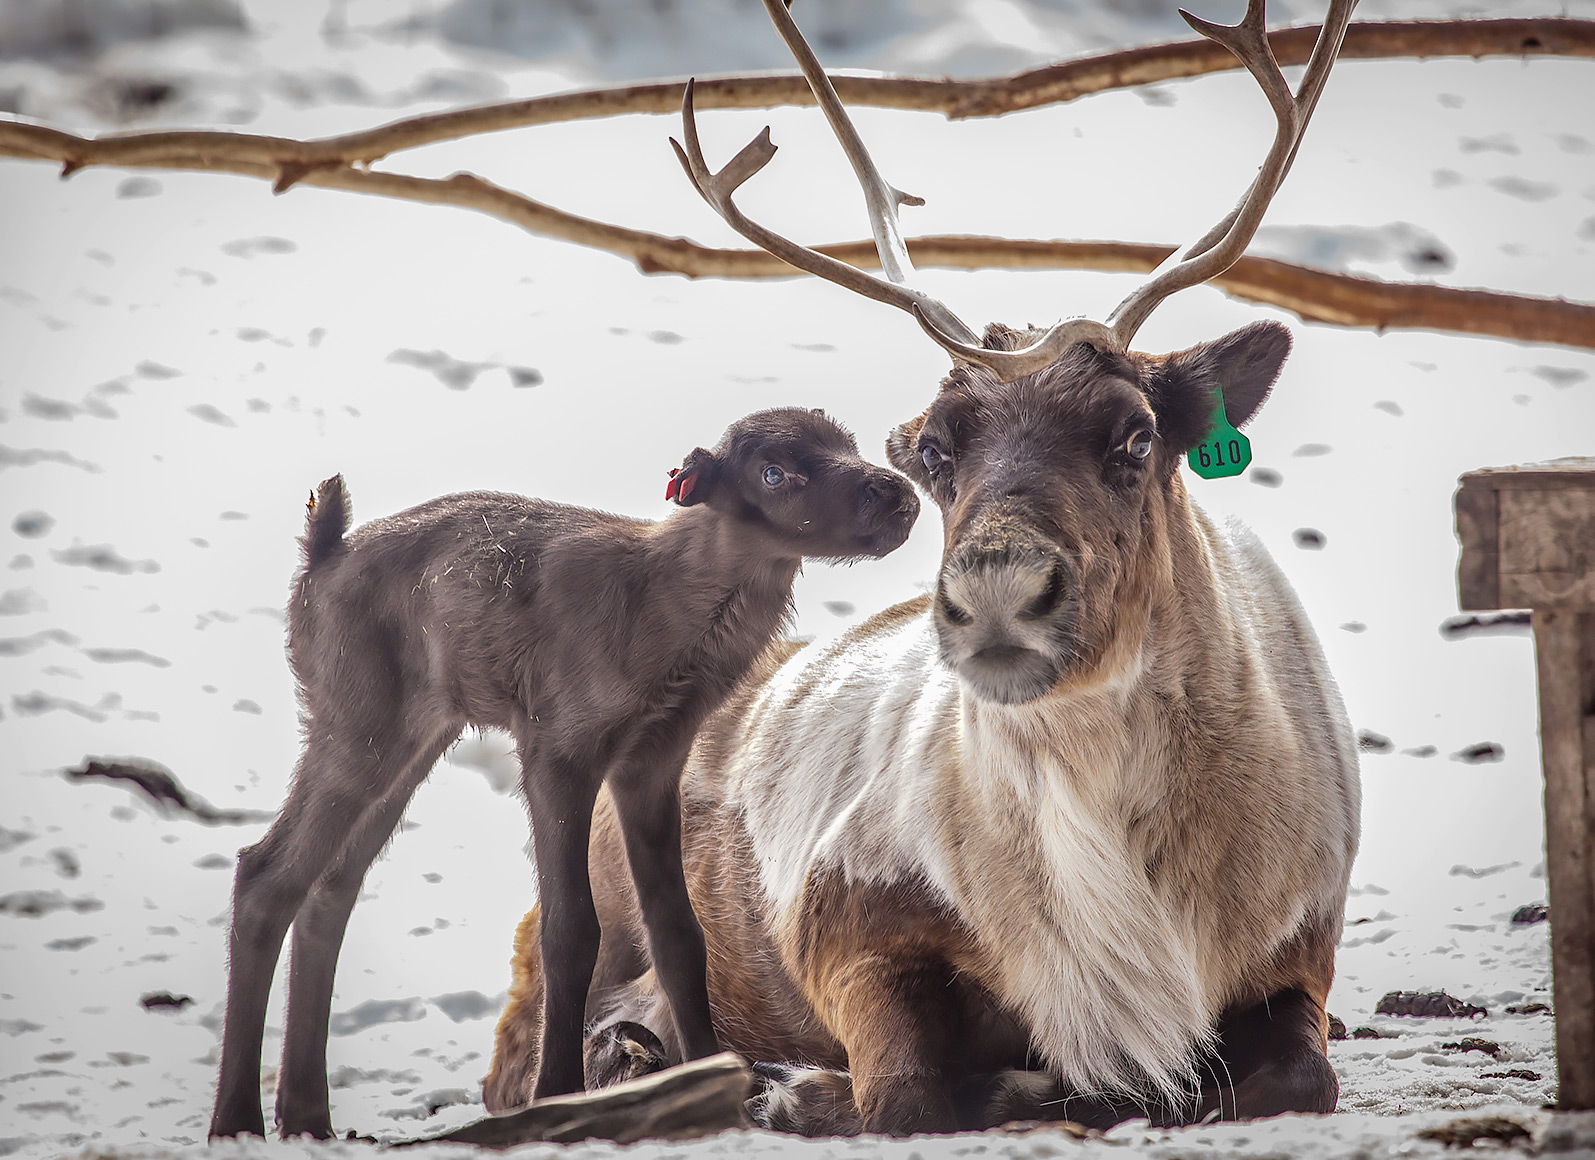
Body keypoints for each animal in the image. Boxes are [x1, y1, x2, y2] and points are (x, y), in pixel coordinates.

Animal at [206, 406, 920, 1139]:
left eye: (845, 441)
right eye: (774, 472)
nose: (897, 495)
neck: (667, 623)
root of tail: (319, 556)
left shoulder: (652, 759)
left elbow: (678, 931)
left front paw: (716, 1081)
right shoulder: (558, 746)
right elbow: (570, 929)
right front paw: (558, 1096)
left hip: (415, 735)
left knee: (329, 889)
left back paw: (307, 1119)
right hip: (355, 720)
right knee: (266, 872)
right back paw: (236, 1120)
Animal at [483, 0, 1361, 1136]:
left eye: (1134, 435)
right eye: (934, 451)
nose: (995, 593)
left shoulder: (1299, 946)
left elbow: (1301, 1072)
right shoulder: (849, 928)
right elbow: (906, 1094)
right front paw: (806, 1085)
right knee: (540, 1044)